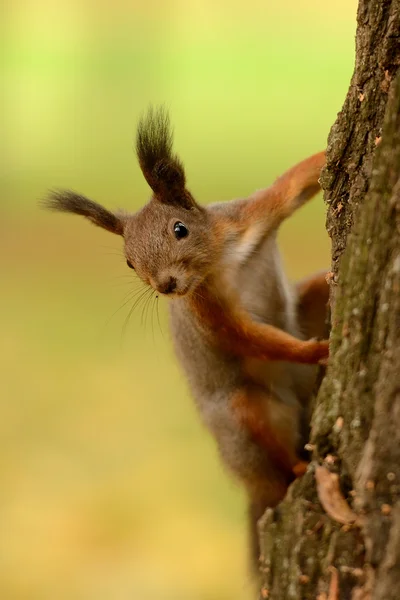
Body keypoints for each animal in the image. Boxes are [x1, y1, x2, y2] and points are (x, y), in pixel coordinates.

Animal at [45, 105, 330, 576]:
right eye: (129, 261)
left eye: (180, 229)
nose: (166, 285)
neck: (220, 261)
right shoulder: (208, 310)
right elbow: (248, 337)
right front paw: (316, 350)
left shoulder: (250, 217)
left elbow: (294, 184)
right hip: (243, 415)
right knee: (274, 455)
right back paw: (300, 464)